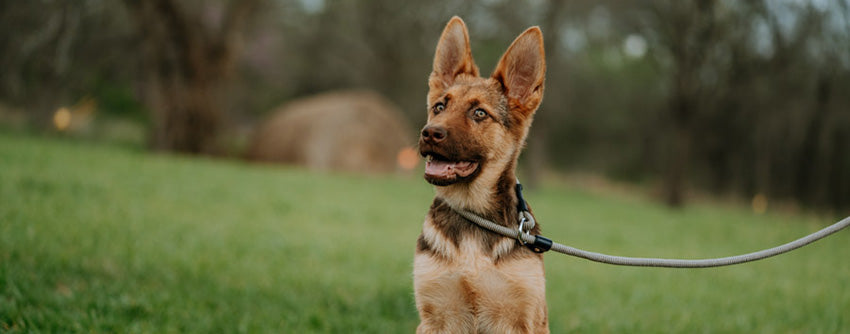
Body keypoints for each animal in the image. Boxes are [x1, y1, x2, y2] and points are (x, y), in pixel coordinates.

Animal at [412, 16, 548, 334]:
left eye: (479, 113)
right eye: (439, 106)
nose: (429, 133)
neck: (473, 211)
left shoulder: (522, 319)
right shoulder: (435, 318)